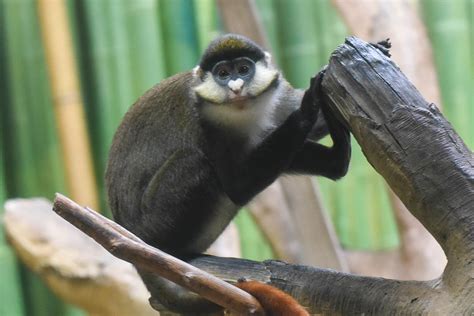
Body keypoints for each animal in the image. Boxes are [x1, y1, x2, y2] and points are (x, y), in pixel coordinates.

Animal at [106, 33, 352, 312]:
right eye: (222, 73)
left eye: (244, 69)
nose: (236, 87)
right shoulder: (206, 124)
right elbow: (236, 185)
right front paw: (308, 107)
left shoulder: (281, 98)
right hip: (156, 224)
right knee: (194, 161)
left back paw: (336, 161)